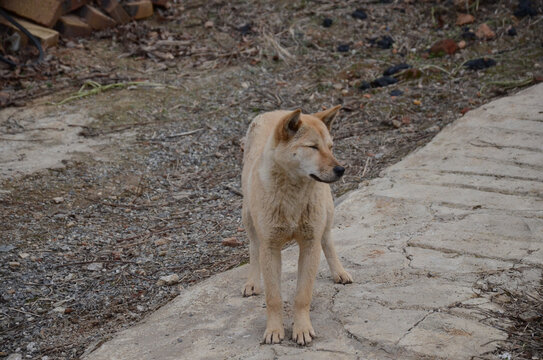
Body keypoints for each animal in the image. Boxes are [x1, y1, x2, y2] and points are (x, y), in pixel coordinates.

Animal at [241, 106, 352, 346]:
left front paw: (302, 329)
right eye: (313, 147)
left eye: (330, 147)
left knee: (328, 241)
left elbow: (302, 295)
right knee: (253, 248)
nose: (341, 169)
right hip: (248, 218)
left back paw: (339, 272)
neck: (292, 195)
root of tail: (276, 110)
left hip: (327, 213)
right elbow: (273, 297)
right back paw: (252, 281)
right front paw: (274, 330)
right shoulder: (270, 248)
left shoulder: (310, 245)